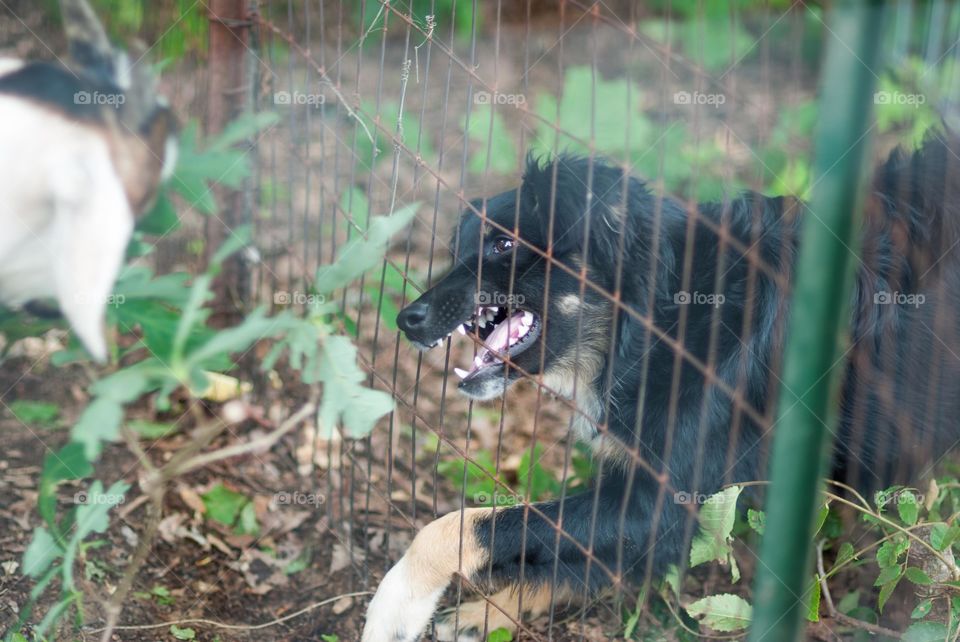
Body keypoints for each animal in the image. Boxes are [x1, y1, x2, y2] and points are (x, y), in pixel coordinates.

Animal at [362, 135, 960, 640]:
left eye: (503, 244)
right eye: (460, 247)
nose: (407, 320)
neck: (655, 320)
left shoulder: (666, 503)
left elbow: (462, 526)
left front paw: (396, 607)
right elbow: (558, 560)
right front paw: (485, 613)